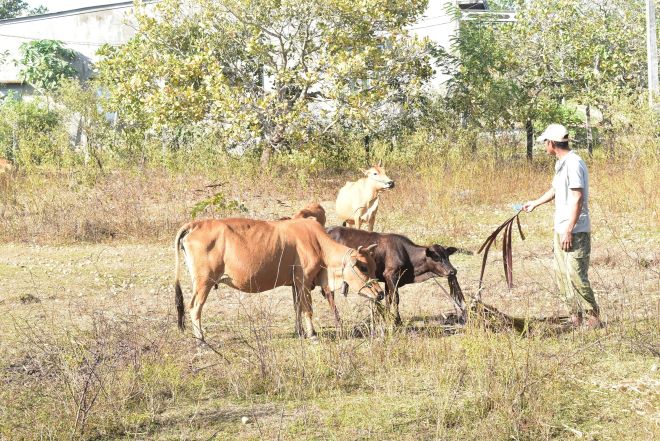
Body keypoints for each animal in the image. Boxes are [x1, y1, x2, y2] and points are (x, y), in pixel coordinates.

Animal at [173, 218, 384, 338]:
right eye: (363, 267)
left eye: (374, 267)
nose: (380, 294)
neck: (317, 242)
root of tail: (195, 225)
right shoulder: (303, 281)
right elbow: (308, 309)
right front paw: (312, 333)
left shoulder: (294, 284)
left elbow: (297, 308)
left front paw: (300, 332)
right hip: (204, 282)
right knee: (194, 307)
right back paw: (201, 339)